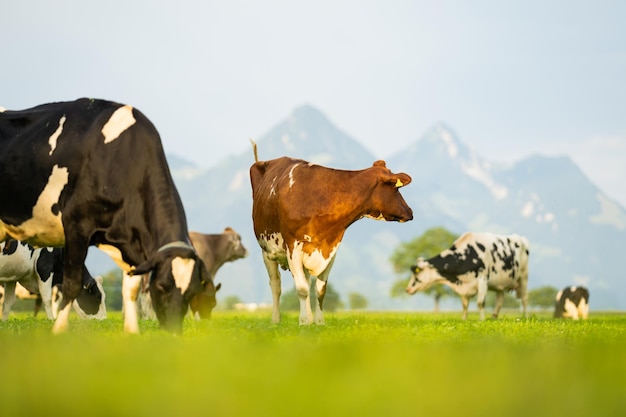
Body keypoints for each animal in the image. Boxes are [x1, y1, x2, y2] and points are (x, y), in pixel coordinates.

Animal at [0, 96, 212, 332]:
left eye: (192, 293)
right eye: (161, 287)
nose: (173, 331)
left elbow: (131, 290)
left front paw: (132, 333)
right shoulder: (75, 227)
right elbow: (70, 285)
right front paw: (58, 330)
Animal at [246, 141, 412, 324]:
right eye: (396, 189)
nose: (410, 212)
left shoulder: (330, 248)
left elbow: (319, 289)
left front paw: (318, 322)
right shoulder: (293, 246)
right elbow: (302, 289)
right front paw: (303, 321)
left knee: (305, 279)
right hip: (267, 250)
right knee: (276, 285)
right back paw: (276, 319)